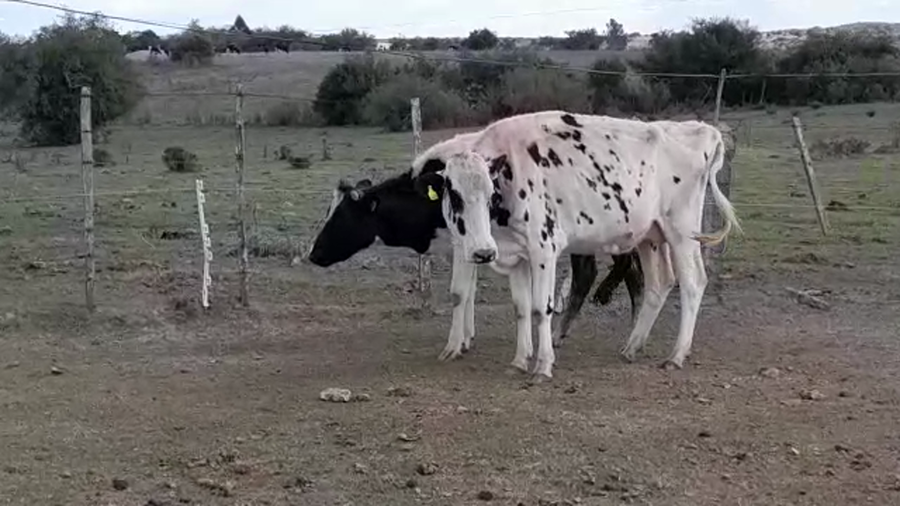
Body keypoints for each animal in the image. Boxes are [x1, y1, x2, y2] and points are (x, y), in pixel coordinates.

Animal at [306, 170, 645, 362]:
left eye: (341, 216)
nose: (313, 253)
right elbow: (468, 292)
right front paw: (467, 338)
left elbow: (459, 292)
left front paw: (454, 345)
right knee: (622, 272)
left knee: (610, 270)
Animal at [410, 111, 740, 379]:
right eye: (454, 195)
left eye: (491, 192)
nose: (483, 252)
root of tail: (700, 129)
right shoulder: (516, 254)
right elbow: (521, 308)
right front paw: (519, 360)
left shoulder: (543, 249)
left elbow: (541, 308)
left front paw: (543, 365)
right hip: (651, 237)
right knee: (659, 284)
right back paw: (632, 346)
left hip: (683, 233)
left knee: (693, 283)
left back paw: (677, 354)